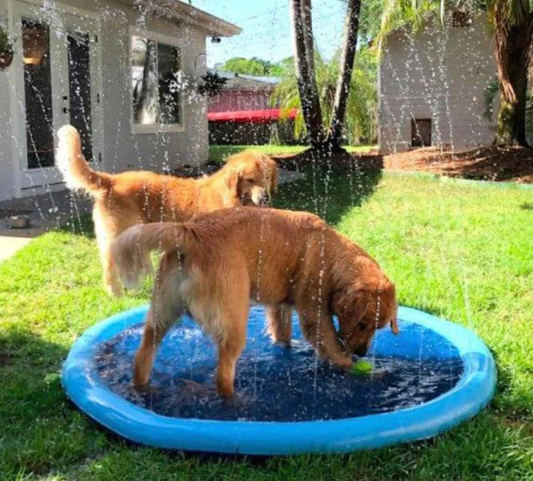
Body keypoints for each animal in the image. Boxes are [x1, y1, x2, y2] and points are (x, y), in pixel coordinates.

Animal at [56, 125, 276, 294]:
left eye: (266, 177)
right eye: (249, 180)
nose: (264, 197)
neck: (231, 195)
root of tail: (112, 180)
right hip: (119, 234)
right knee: (110, 266)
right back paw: (116, 293)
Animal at [110, 207, 396, 398]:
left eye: (377, 327)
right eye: (363, 323)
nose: (362, 353)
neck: (333, 255)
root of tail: (190, 232)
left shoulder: (280, 306)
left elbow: (283, 334)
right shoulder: (314, 313)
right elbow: (332, 346)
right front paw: (362, 370)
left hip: (162, 311)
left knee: (142, 354)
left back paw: (143, 388)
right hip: (234, 319)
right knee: (223, 375)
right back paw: (235, 401)